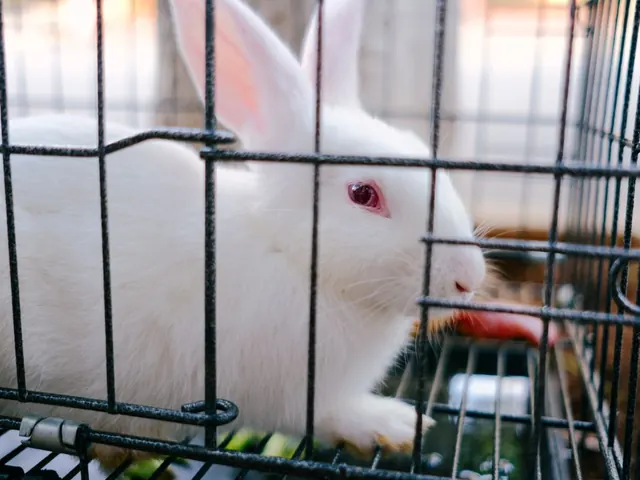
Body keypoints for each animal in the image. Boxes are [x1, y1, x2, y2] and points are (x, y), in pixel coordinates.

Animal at [0, 0, 486, 470]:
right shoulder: (291, 395)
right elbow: (325, 416)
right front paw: (393, 424)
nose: (468, 279)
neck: (288, 252)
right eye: (363, 194)